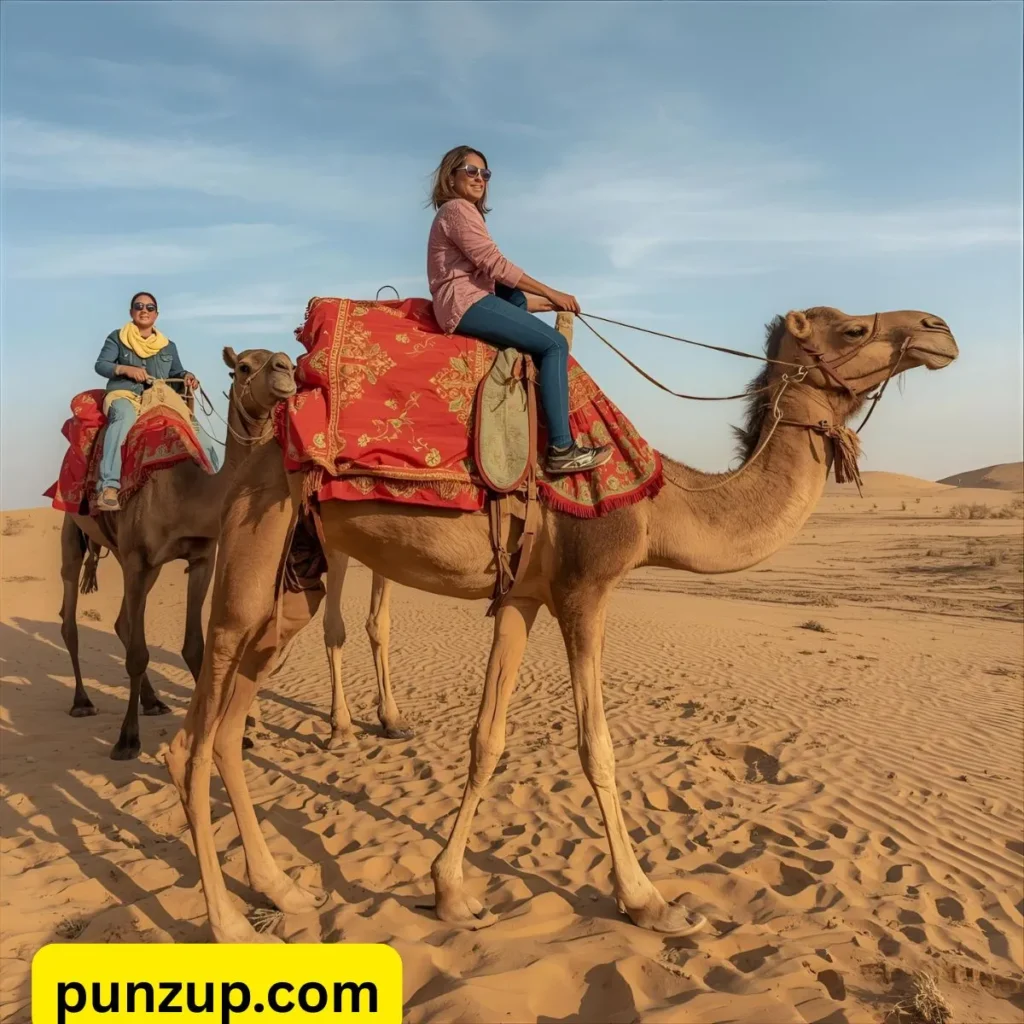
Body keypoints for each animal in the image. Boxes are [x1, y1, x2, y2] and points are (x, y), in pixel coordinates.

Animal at [166, 305, 958, 943]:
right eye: (853, 328)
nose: (937, 329)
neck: (662, 503)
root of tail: (250, 454)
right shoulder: (585, 590)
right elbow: (597, 749)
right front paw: (648, 900)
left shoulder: (522, 596)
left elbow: (487, 740)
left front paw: (450, 892)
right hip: (251, 557)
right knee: (194, 740)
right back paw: (229, 922)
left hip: (292, 582)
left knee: (228, 728)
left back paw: (283, 889)